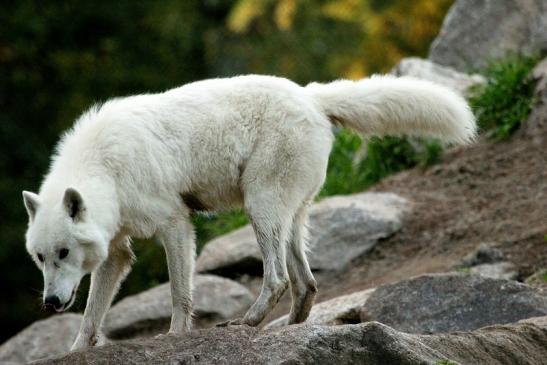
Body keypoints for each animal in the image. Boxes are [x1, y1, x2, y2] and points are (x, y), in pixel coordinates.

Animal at [22, 73, 476, 346]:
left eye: (64, 253)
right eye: (41, 258)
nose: (50, 302)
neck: (106, 167)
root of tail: (310, 94)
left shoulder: (175, 224)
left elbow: (179, 295)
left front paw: (175, 337)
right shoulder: (117, 252)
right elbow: (91, 315)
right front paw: (76, 351)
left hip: (260, 209)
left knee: (276, 278)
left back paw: (247, 323)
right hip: (288, 217)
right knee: (306, 282)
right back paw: (288, 329)